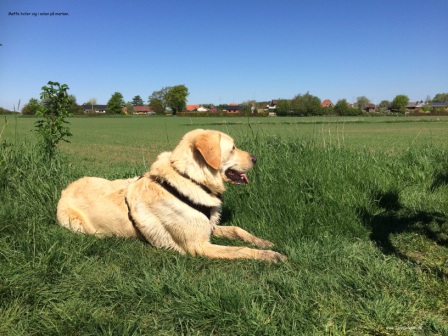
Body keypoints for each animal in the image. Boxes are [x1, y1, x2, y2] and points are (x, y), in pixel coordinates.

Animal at [57, 129, 288, 262]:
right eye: (232, 148)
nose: (256, 158)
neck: (192, 179)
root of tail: (64, 189)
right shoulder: (198, 246)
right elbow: (240, 250)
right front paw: (271, 256)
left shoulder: (208, 227)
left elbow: (238, 230)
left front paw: (263, 242)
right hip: (76, 224)